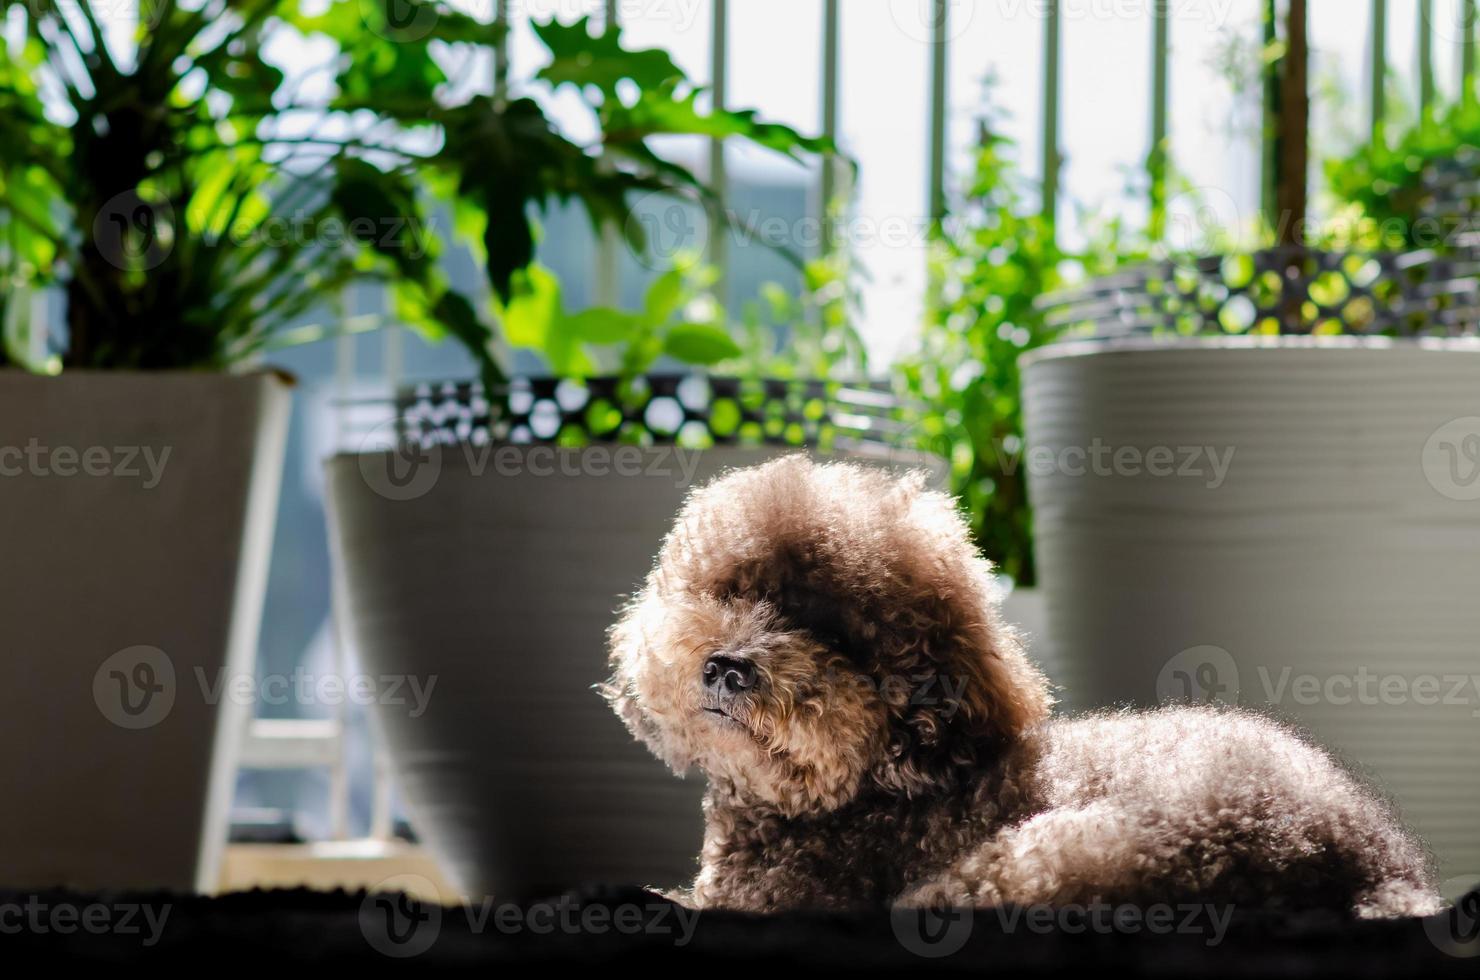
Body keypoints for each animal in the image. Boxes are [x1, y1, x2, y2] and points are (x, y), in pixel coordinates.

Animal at [597, 455, 1432, 917]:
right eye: (728, 593)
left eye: (828, 635)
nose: (726, 666)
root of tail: (1375, 860)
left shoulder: (781, 899)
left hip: (1073, 853)